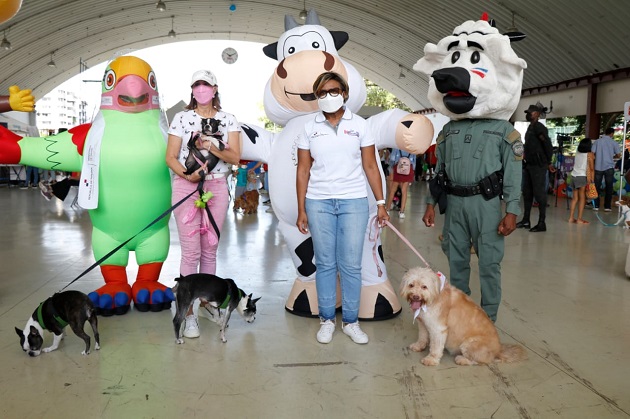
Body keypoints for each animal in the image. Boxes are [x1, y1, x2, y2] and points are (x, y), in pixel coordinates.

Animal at [400, 268, 528, 366]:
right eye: (411, 285)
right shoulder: (423, 323)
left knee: (481, 361)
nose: (415, 296)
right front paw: (418, 346)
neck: (433, 297)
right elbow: (422, 337)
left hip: (469, 344)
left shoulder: (438, 329)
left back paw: (461, 359)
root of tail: (499, 349)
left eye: (424, 287)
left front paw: (431, 359)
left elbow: (436, 347)